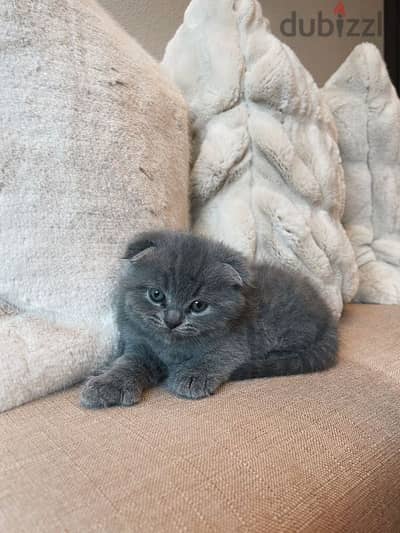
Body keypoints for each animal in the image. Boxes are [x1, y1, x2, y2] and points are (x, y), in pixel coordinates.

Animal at [81, 230, 338, 408]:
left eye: (198, 305)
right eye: (156, 295)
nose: (172, 320)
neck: (172, 348)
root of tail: (327, 315)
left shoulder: (234, 342)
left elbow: (215, 357)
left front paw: (193, 376)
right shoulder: (139, 345)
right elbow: (128, 363)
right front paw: (107, 384)